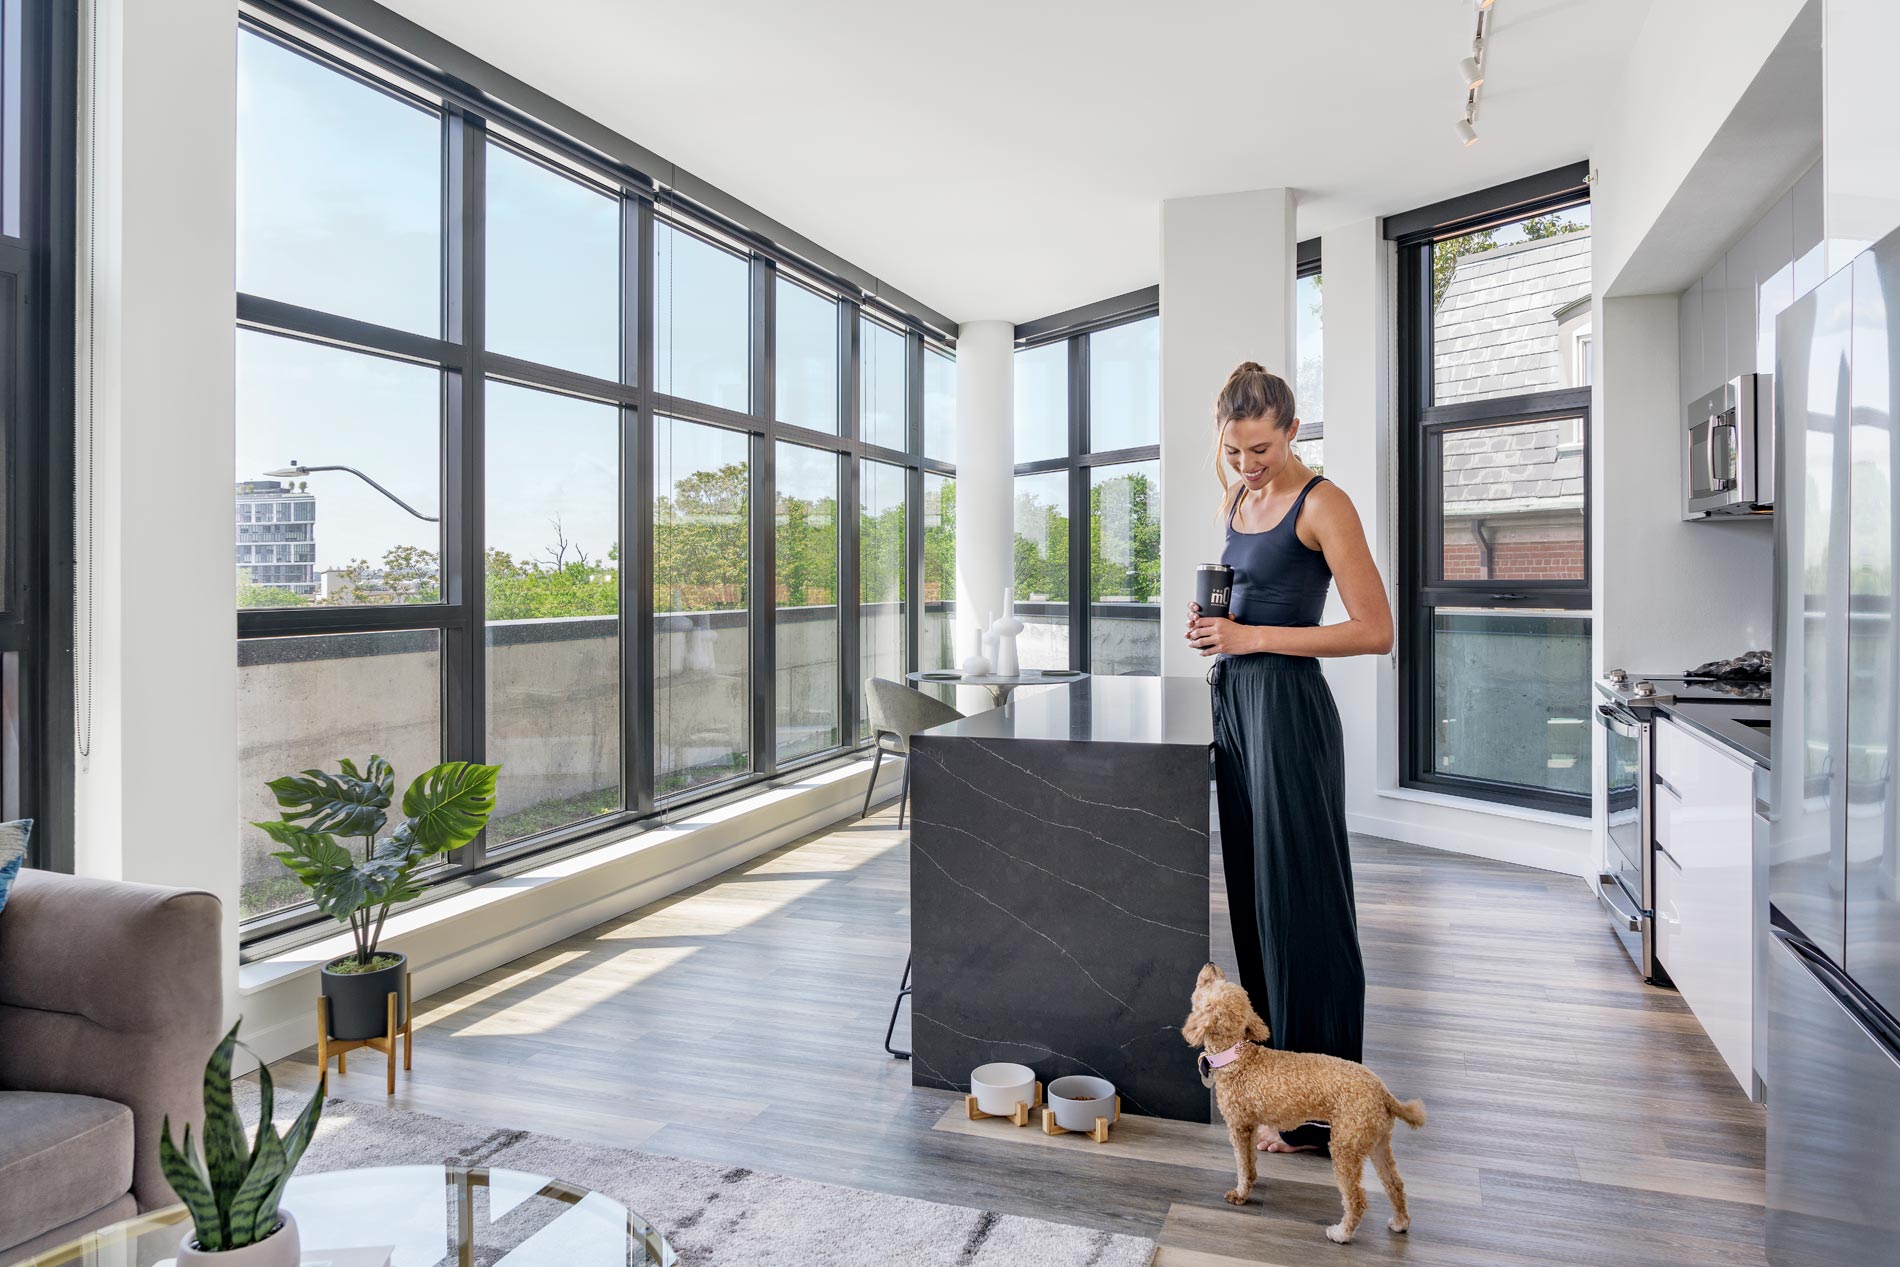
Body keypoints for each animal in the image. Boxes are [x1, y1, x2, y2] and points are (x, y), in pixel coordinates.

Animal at [1170, 964, 1428, 1246]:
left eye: (1209, 985)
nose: (1211, 965)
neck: (1237, 1058)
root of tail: (1383, 1093)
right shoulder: (1250, 1125)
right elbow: (1249, 1161)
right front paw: (1251, 1182)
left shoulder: (1238, 1126)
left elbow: (1241, 1162)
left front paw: (1239, 1194)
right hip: (1377, 1142)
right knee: (1394, 1184)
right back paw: (1400, 1222)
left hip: (1346, 1146)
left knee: (1356, 1199)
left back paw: (1341, 1233)